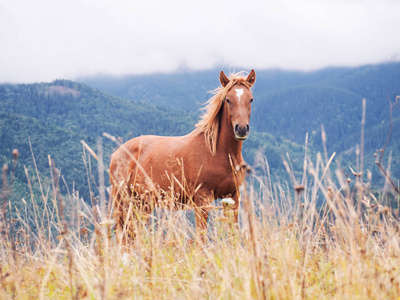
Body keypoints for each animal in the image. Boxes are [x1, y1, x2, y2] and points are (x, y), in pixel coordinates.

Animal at [109, 69, 258, 243]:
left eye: (251, 99)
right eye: (228, 99)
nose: (241, 129)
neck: (218, 153)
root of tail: (117, 153)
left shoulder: (232, 197)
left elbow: (233, 235)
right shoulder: (202, 199)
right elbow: (201, 237)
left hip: (142, 203)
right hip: (124, 201)